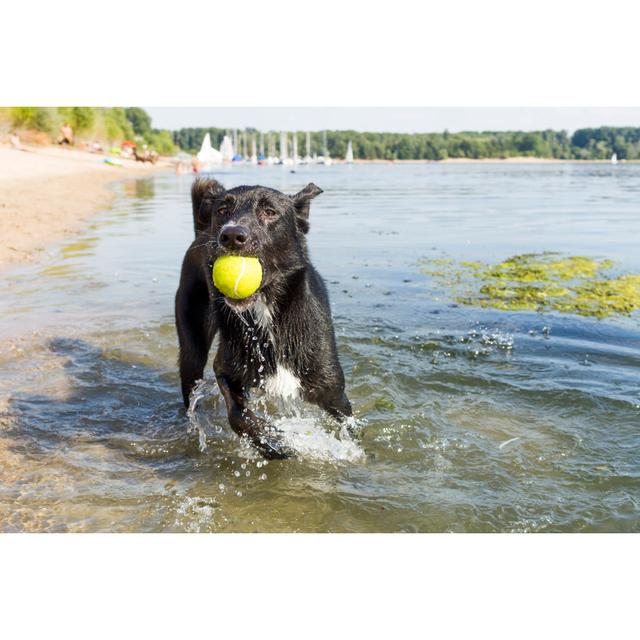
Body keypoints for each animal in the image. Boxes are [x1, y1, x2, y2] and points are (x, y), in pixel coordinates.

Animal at [175, 178, 352, 458]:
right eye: (222, 210)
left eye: (270, 212)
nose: (231, 236)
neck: (266, 313)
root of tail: (200, 233)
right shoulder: (226, 369)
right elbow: (238, 415)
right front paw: (272, 442)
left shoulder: (334, 392)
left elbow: (350, 432)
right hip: (192, 350)